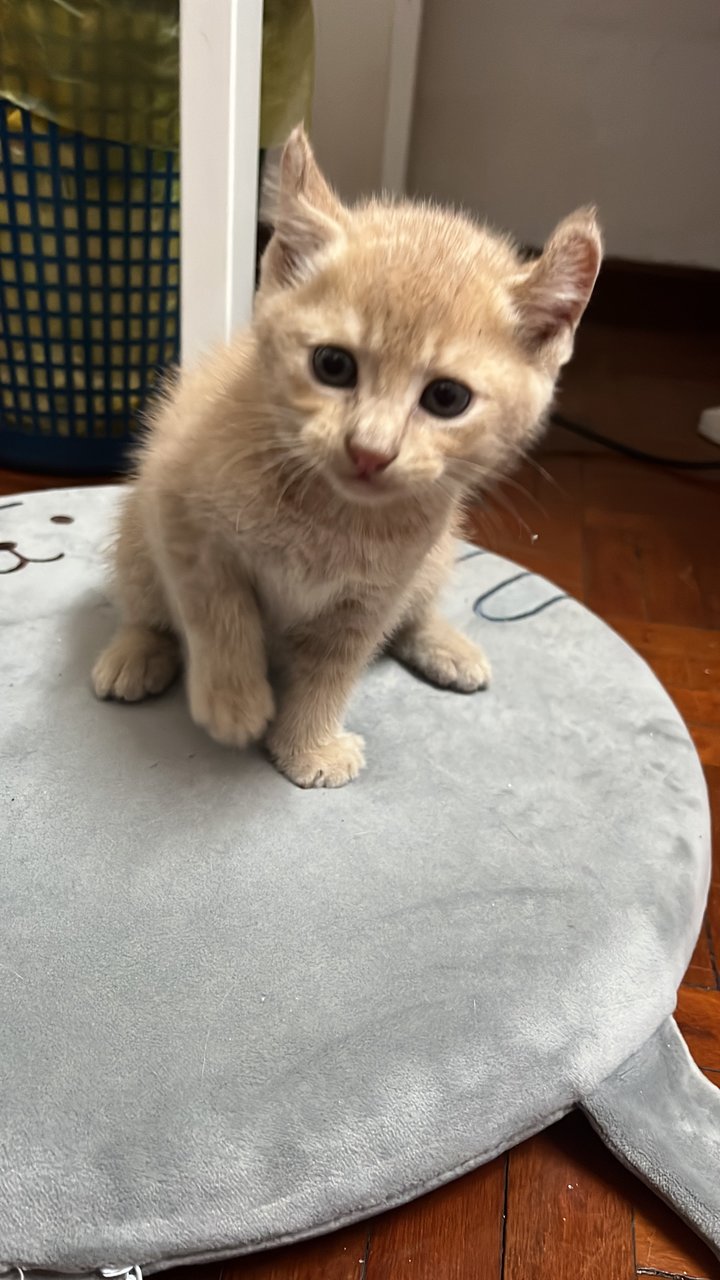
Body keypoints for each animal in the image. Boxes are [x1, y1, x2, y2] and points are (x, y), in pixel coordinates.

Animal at [95, 129, 599, 788]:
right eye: (332, 365)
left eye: (447, 398)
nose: (369, 451)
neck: (329, 516)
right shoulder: (177, 508)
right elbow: (218, 606)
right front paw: (234, 699)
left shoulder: (374, 595)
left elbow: (336, 668)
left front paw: (306, 746)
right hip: (134, 533)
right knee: (144, 604)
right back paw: (136, 652)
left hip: (436, 557)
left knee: (415, 613)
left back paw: (446, 645)